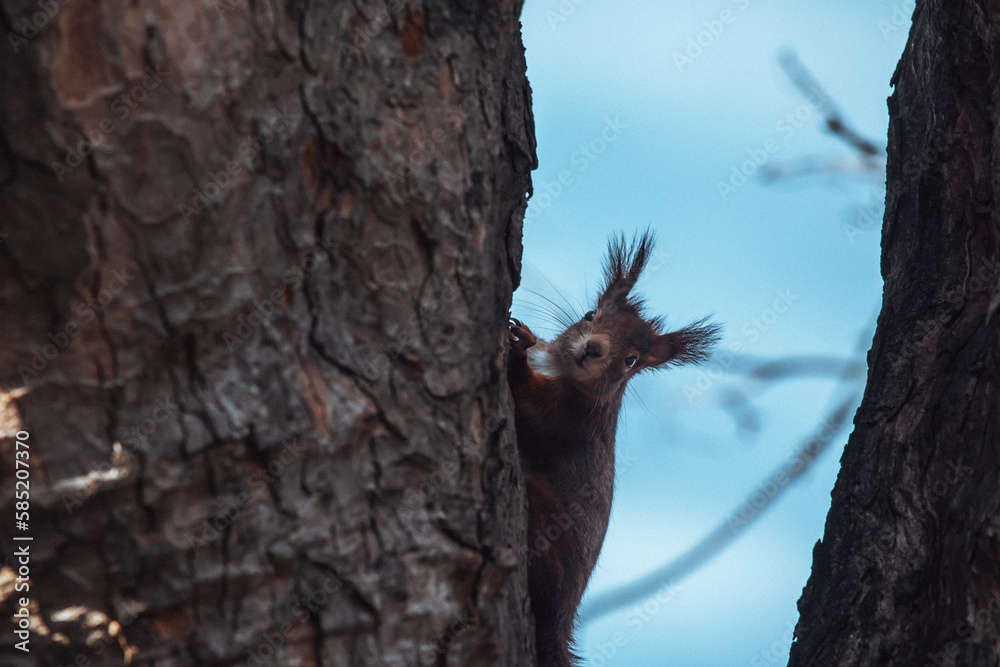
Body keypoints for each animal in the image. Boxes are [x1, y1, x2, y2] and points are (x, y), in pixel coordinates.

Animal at [507, 231, 720, 667]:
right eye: (590, 314)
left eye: (631, 360)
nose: (594, 348)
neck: (559, 370)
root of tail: (562, 618)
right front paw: (527, 338)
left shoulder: (572, 421)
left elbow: (533, 417)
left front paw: (518, 349)